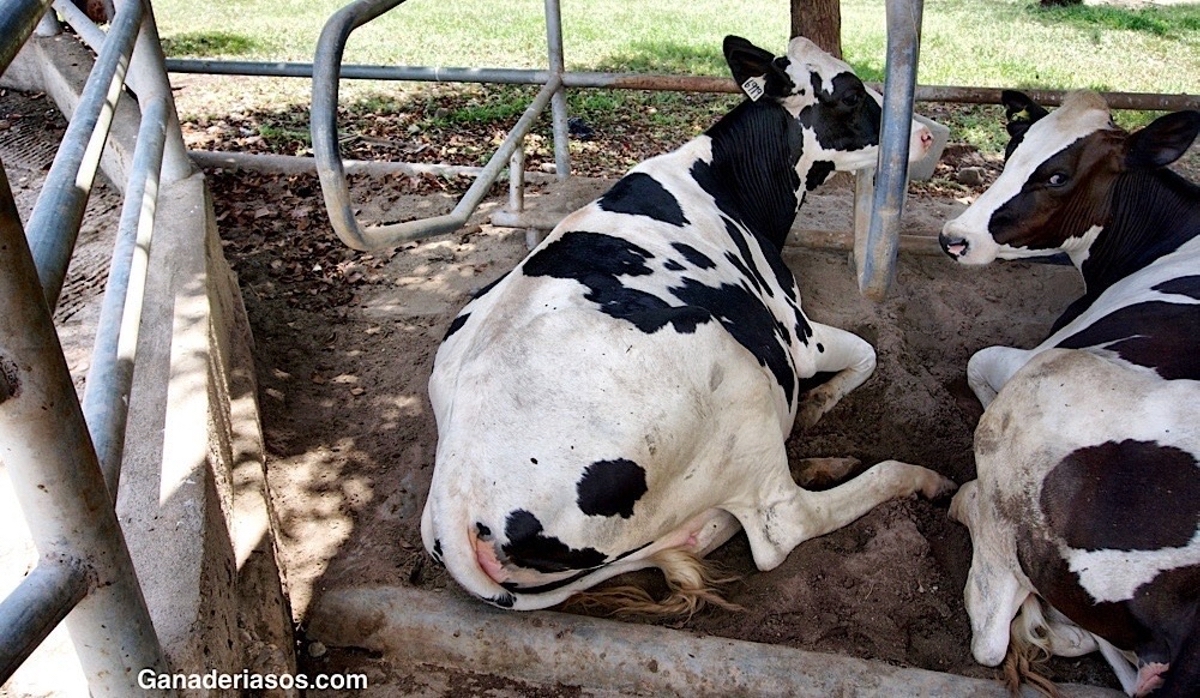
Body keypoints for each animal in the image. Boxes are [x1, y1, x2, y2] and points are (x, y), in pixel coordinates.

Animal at [940, 90, 1195, 695]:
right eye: (1011, 149)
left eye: (1057, 175)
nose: (954, 237)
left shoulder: (1035, 357)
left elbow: (979, 363)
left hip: (1036, 402)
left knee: (990, 627)